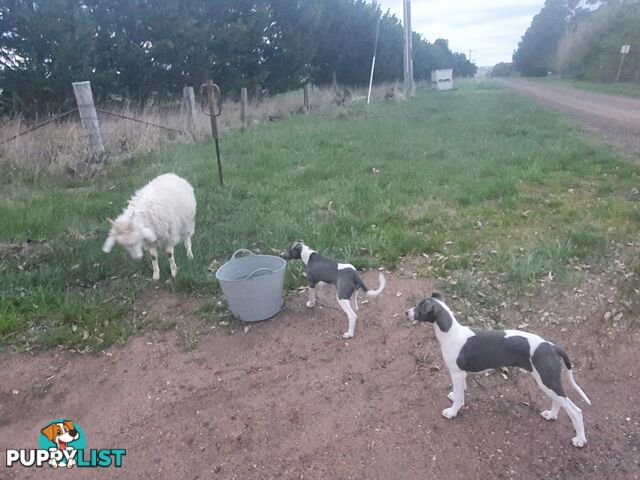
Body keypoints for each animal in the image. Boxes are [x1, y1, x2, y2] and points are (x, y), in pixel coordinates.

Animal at [408, 290, 592, 448]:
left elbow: (460, 399)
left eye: (419, 308)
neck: (450, 333)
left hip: (547, 381)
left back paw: (580, 440)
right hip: (548, 381)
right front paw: (454, 396)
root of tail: (552, 347)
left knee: (575, 411)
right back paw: (551, 415)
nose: (407, 312)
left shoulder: (457, 374)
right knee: (559, 401)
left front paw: (452, 412)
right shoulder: (461, 375)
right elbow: (460, 392)